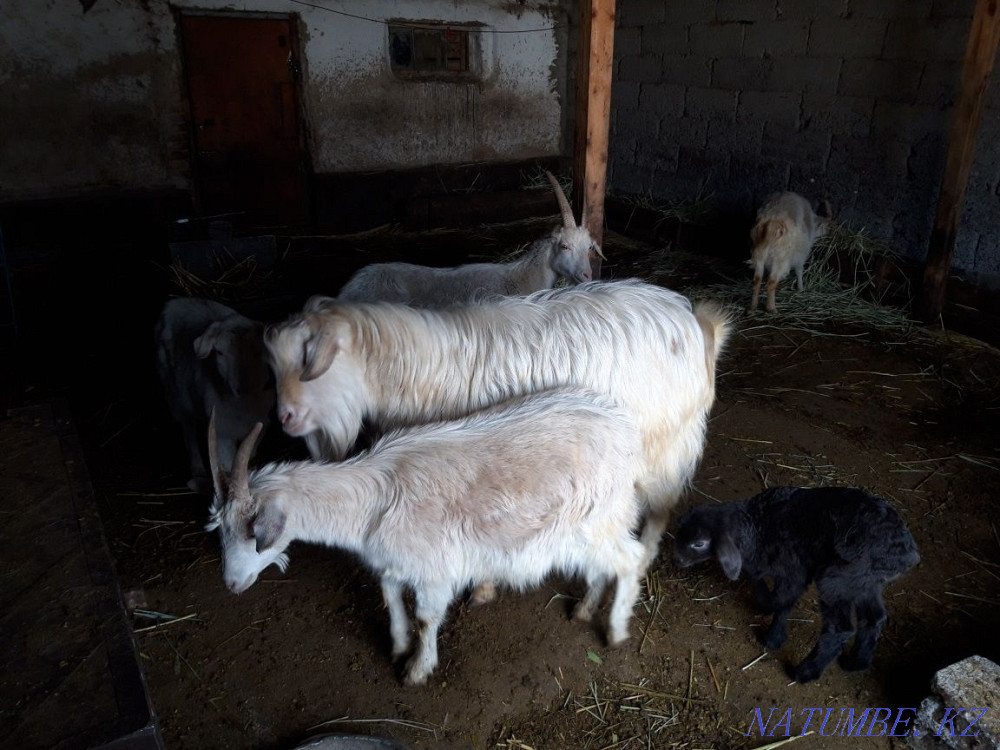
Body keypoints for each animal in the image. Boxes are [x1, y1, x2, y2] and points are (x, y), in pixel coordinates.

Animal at [155, 298, 273, 492]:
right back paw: (197, 467)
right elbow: (228, 461)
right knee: (188, 427)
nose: (240, 389)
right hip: (174, 392)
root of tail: (175, 301)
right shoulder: (222, 430)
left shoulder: (261, 421)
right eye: (219, 352)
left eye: (257, 353)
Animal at [205, 388, 646, 686]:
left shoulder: (435, 570)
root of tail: (626, 428)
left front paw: (417, 669)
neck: (375, 500)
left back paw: (616, 630)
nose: (230, 584)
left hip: (597, 520)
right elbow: (390, 598)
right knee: (603, 566)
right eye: (220, 529)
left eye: (251, 530)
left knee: (632, 559)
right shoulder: (392, 562)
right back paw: (585, 609)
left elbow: (426, 617)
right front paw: (399, 645)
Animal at [265, 280, 731, 572]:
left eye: (308, 357)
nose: (283, 418)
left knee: (660, 505)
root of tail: (699, 323)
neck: (425, 368)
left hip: (662, 447)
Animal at [673, 486, 920, 683]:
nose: (676, 559)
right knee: (874, 617)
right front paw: (765, 605)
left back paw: (805, 672)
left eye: (699, 543)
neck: (759, 525)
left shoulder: (794, 570)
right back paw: (856, 663)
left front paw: (773, 638)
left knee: (840, 627)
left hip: (838, 577)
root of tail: (907, 554)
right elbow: (755, 577)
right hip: (866, 581)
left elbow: (783, 603)